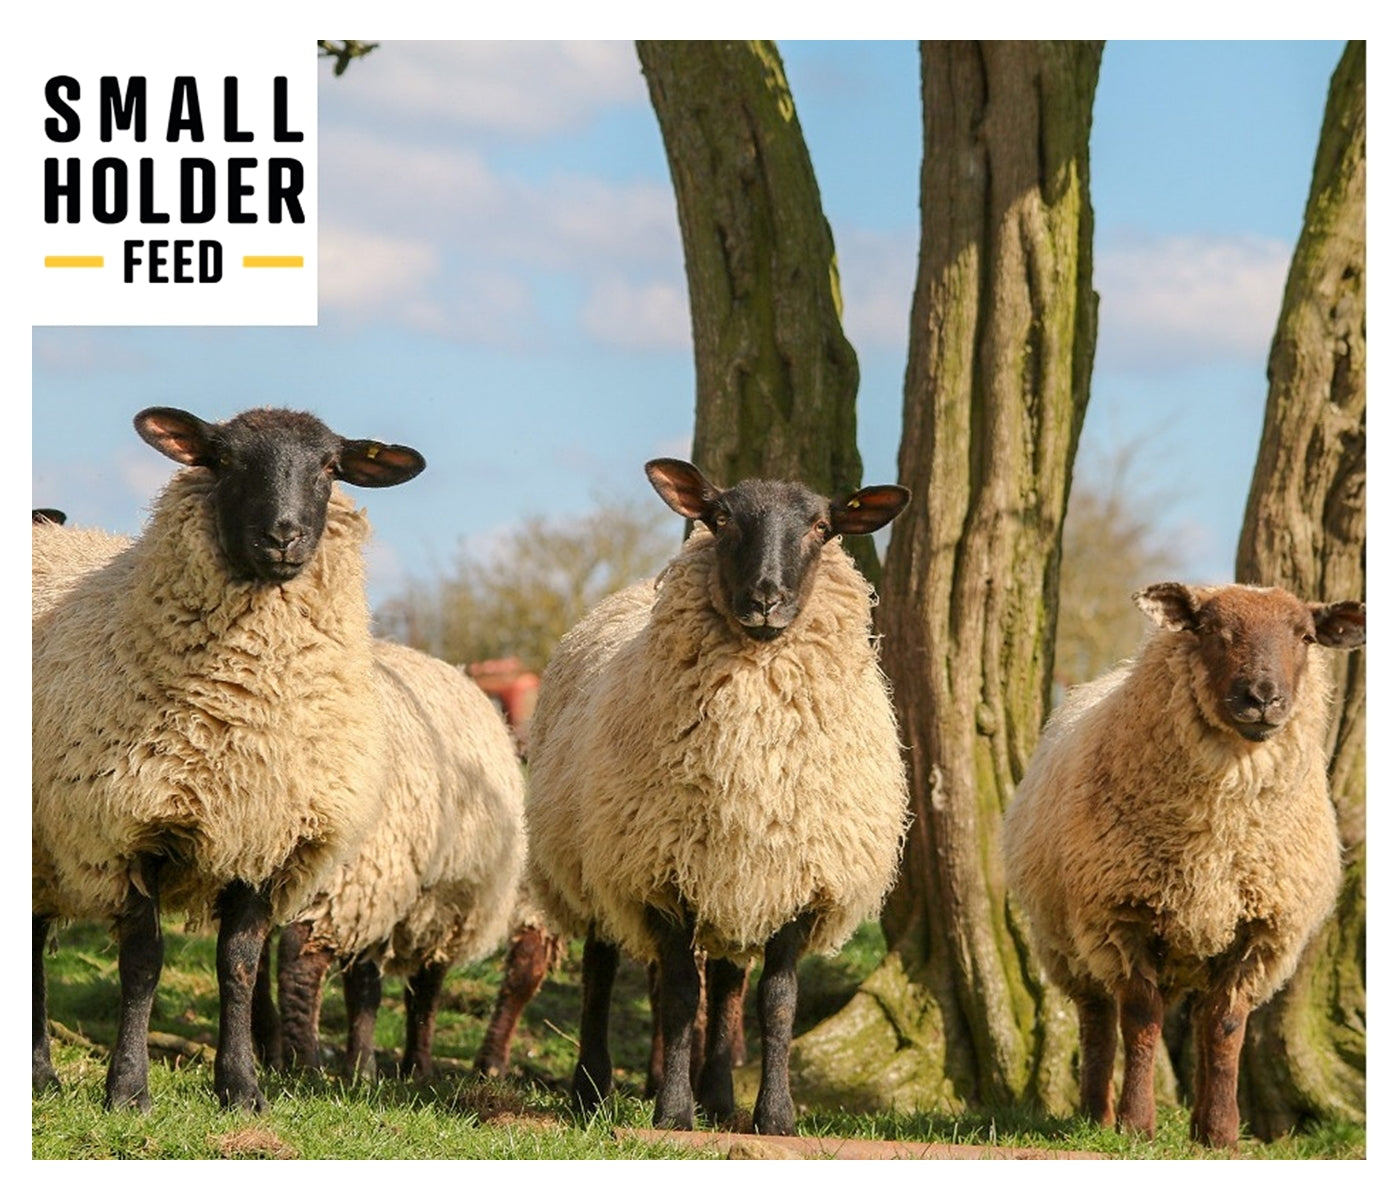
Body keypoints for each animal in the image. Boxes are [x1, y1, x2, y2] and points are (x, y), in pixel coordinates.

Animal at [32, 405, 424, 1112]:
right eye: (225, 459)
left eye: (331, 466)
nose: (284, 536)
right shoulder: (132, 826)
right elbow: (142, 962)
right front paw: (128, 1089)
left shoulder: (265, 835)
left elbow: (238, 964)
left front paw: (241, 1087)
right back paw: (42, 1071)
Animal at [274, 638, 527, 1082]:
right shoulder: (432, 902)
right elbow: (424, 991)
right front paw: (416, 1067)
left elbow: (365, 986)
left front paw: (363, 1066)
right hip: (350, 870)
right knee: (297, 955)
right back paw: (303, 1062)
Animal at [526, 458, 911, 1135]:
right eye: (723, 518)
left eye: (821, 526)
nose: (766, 599)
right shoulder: (659, 872)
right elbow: (682, 994)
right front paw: (673, 1113)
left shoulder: (798, 878)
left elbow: (776, 1002)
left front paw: (774, 1116)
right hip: (596, 862)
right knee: (602, 970)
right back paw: (592, 1089)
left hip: (738, 877)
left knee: (728, 979)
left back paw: (720, 1097)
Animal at [1001, 581, 1366, 1148]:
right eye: (1210, 630)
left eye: (1305, 637)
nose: (1264, 698)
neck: (1217, 838)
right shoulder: (1121, 918)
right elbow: (1141, 1020)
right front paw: (1136, 1125)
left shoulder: (1257, 933)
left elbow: (1225, 1027)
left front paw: (1219, 1135)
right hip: (1068, 944)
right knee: (1097, 1019)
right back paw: (1095, 1116)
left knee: (1193, 1022)